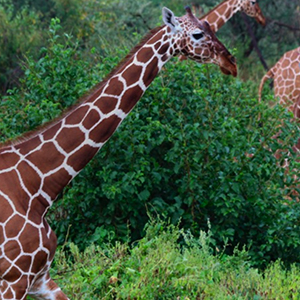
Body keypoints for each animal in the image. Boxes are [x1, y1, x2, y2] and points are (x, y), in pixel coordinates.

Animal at [0, 7, 238, 300]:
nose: (231, 63)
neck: (37, 188)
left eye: (210, 26)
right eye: (197, 34)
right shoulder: (13, 278)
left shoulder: (39, 278)